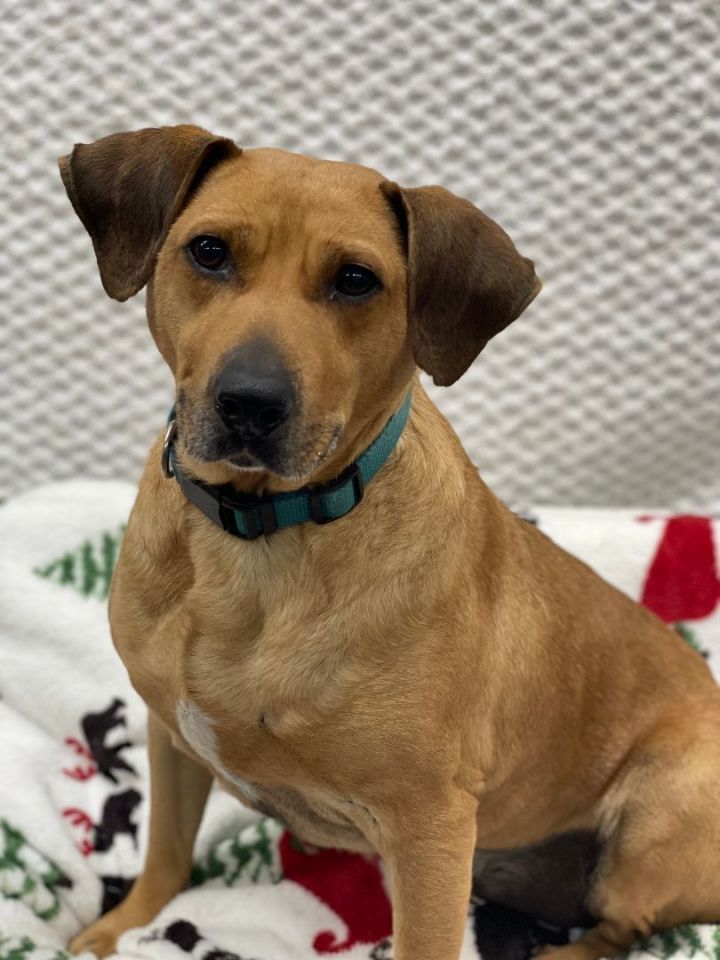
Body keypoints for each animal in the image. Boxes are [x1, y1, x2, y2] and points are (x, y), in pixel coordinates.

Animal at [60, 127, 720, 960]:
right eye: (208, 251)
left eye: (355, 280)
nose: (249, 403)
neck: (259, 537)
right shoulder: (171, 738)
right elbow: (166, 855)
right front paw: (121, 928)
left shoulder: (429, 829)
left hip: (654, 818)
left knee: (624, 927)